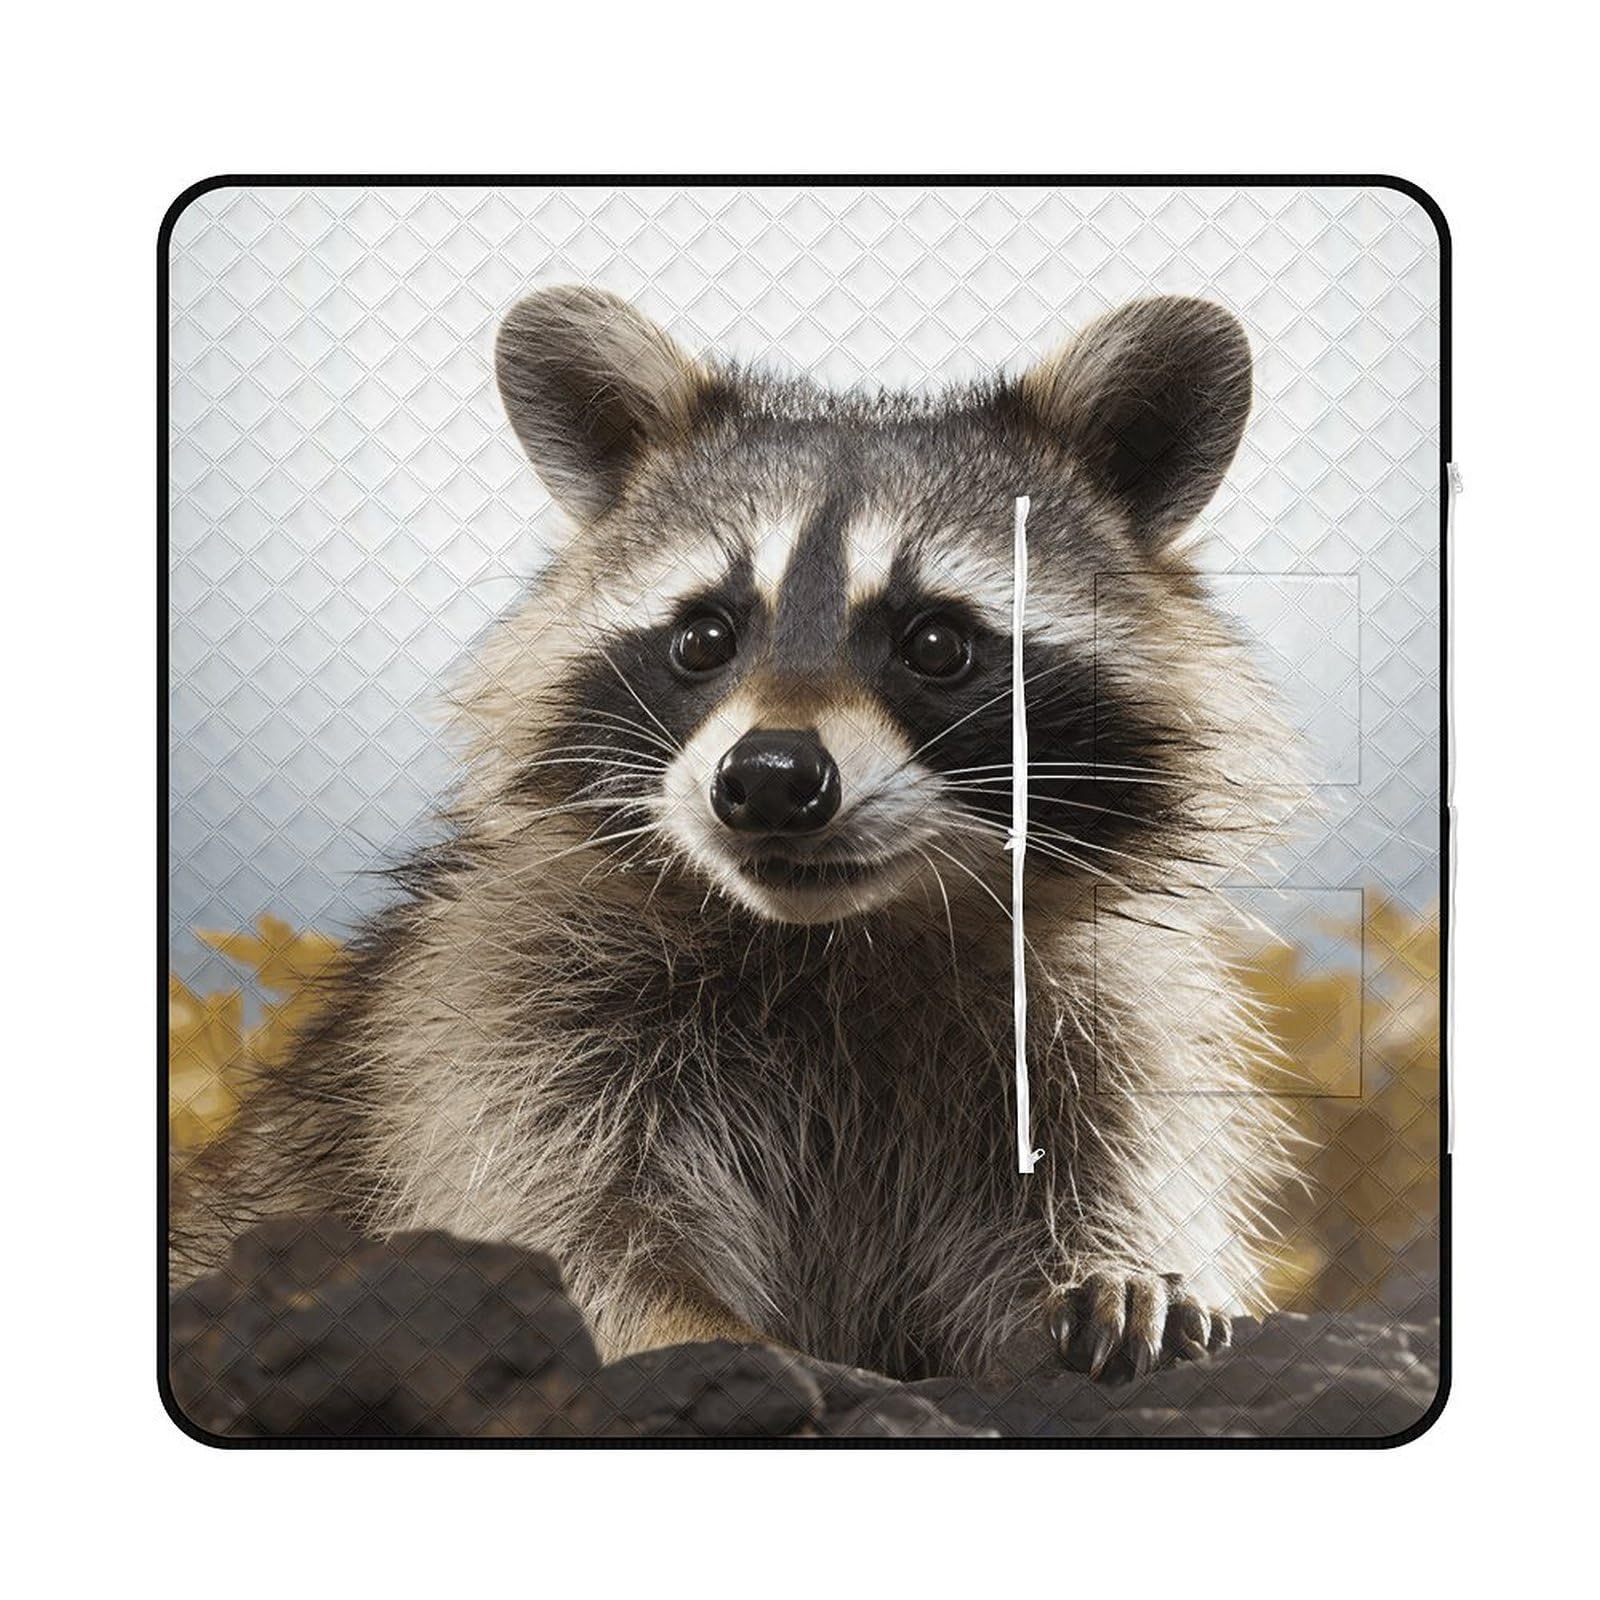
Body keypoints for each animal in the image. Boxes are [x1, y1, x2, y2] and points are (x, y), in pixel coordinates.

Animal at [175, 287, 1302, 1383]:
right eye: (704, 636)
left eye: (937, 643)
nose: (769, 779)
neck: (842, 937)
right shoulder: (504, 1021)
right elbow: (566, 1234)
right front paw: (710, 1337)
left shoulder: (1098, 1033)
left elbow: (1090, 1189)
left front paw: (1113, 1270)